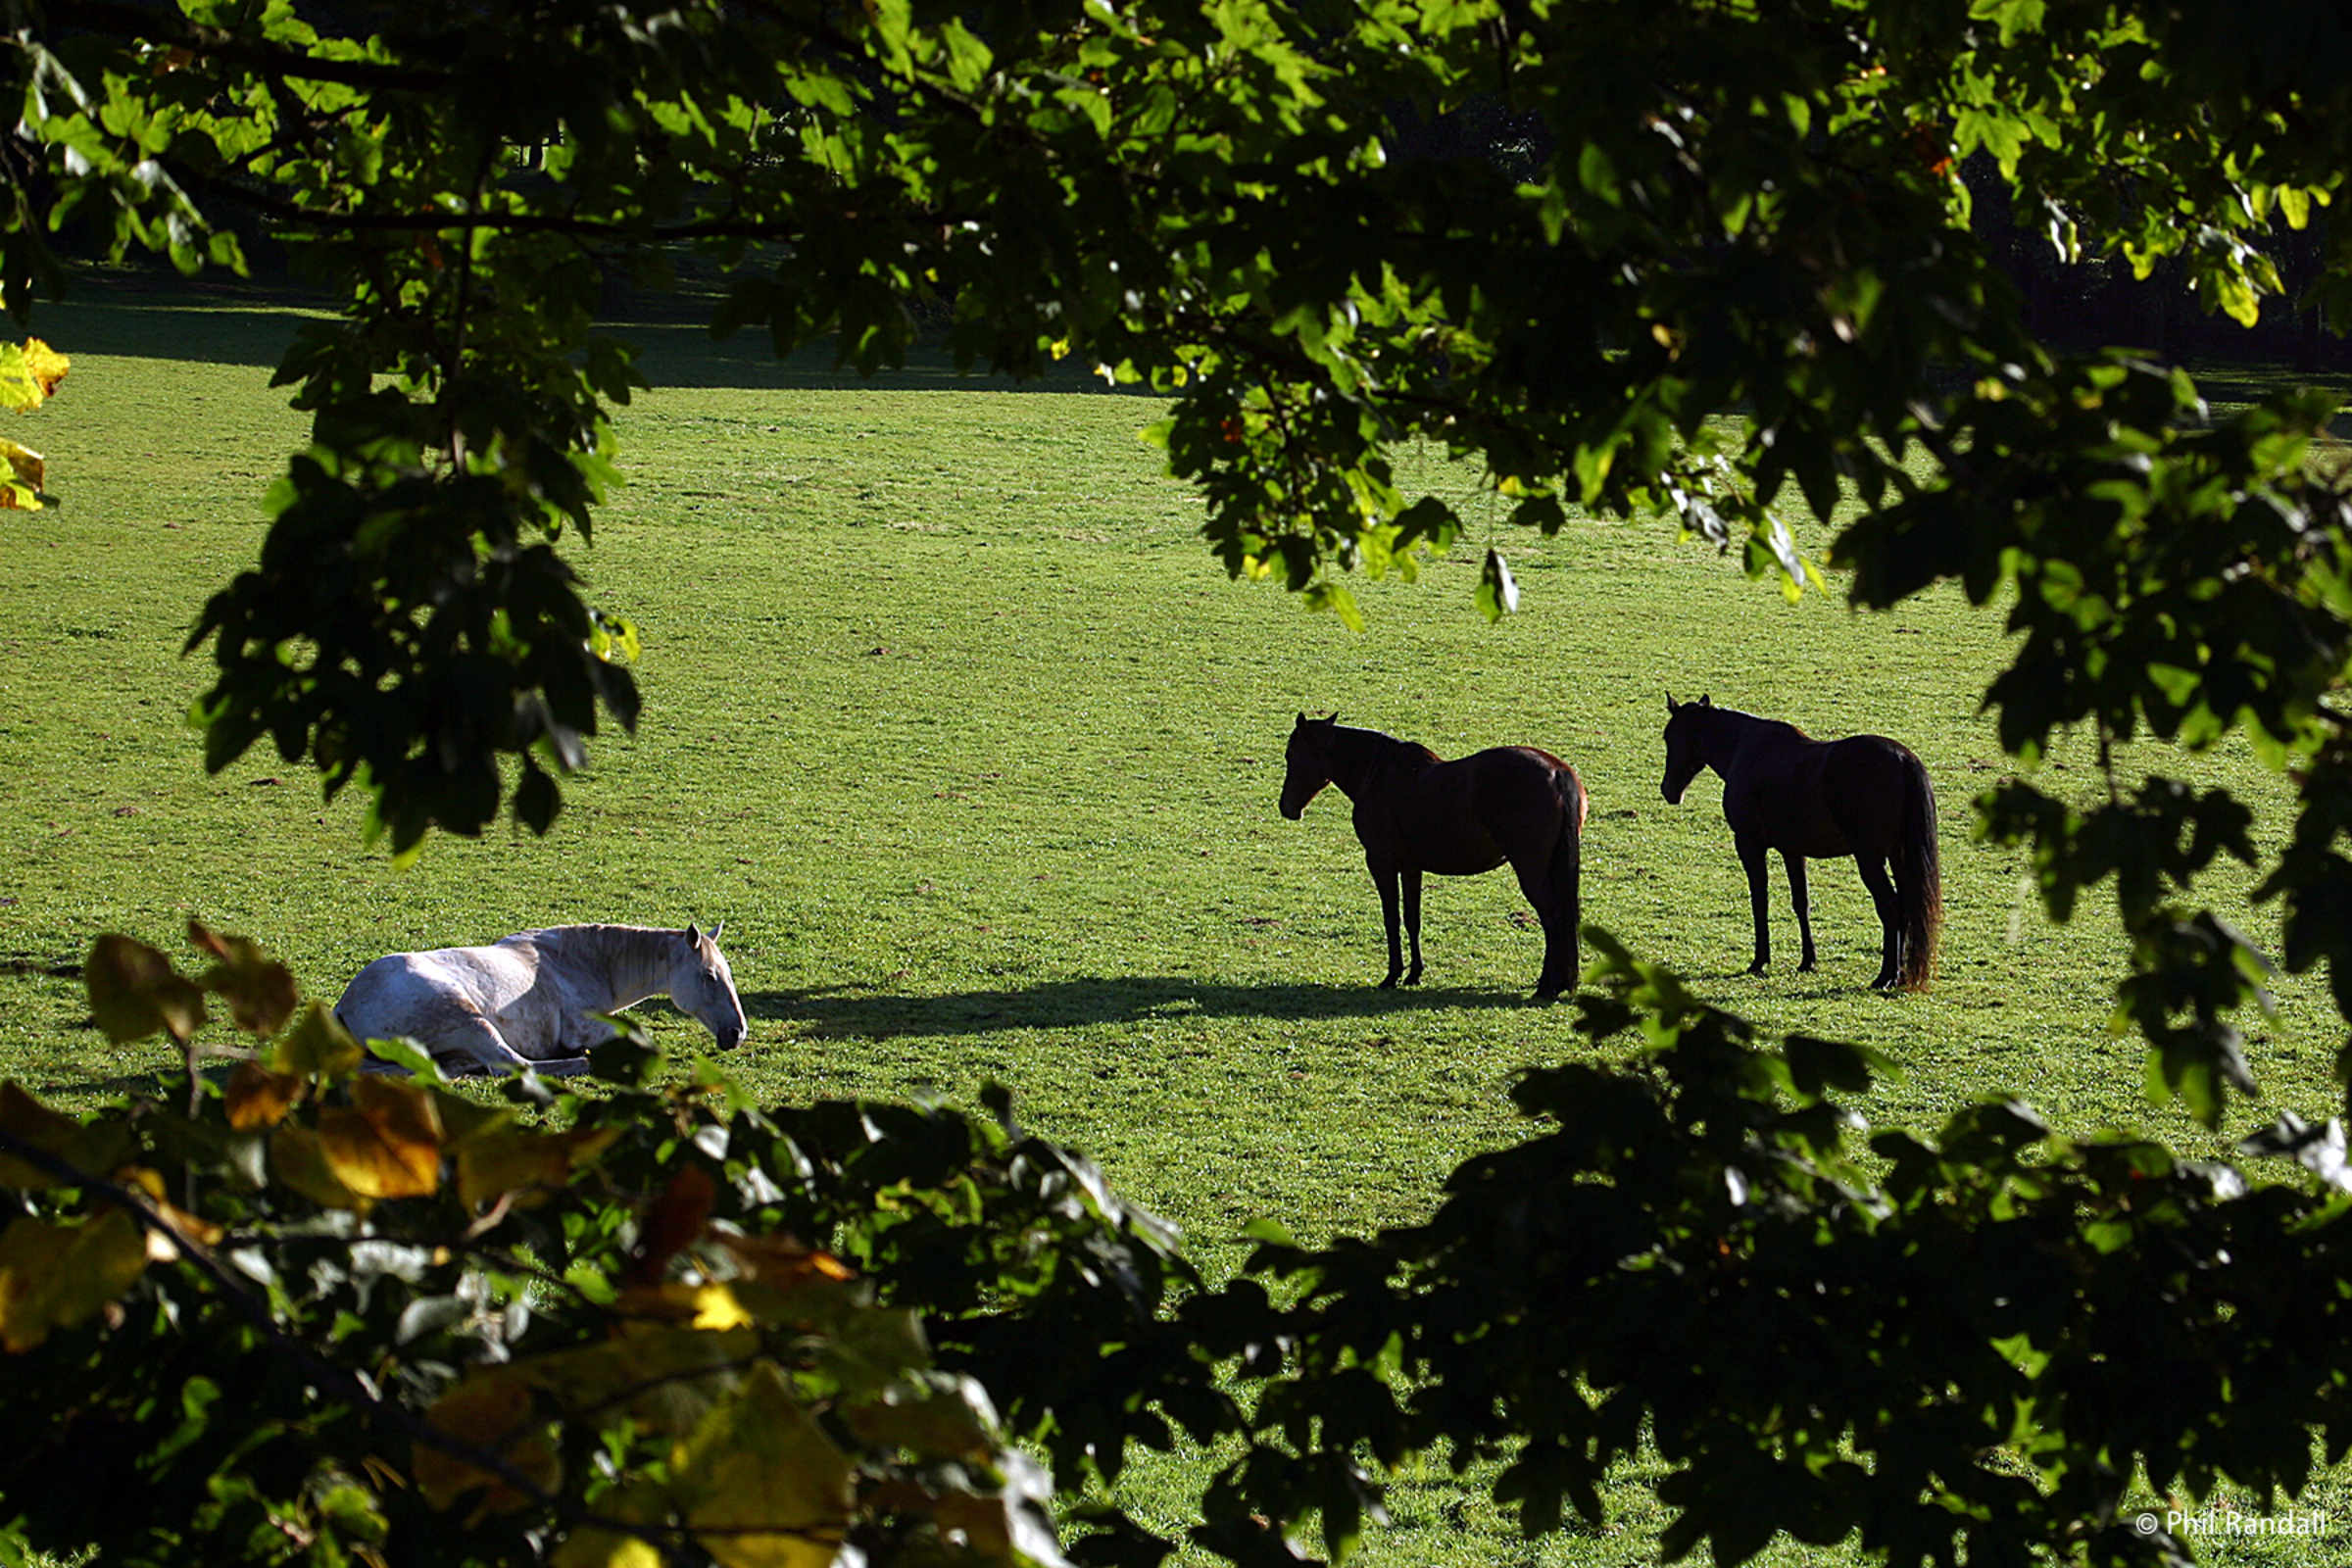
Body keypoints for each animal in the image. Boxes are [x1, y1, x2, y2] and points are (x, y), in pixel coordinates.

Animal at [333, 923, 748, 1077]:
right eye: (709, 976)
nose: (737, 1033)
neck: (578, 962)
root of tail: (345, 1006)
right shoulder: (586, 1027)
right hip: (470, 1021)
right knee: (513, 1065)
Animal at [1278, 713, 1588, 997]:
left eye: (1291, 754)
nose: (1286, 807)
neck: (1378, 774)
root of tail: (1557, 772)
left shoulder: (1381, 862)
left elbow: (1391, 919)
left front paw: (1392, 975)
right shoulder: (1410, 867)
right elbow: (1412, 919)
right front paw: (1414, 973)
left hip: (1531, 871)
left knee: (1552, 918)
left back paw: (1547, 986)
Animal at [1659, 694, 1942, 990]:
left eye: (1671, 736)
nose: (1668, 790)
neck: (1746, 750)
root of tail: (1903, 759)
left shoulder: (1749, 844)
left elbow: (1759, 900)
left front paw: (1759, 961)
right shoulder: (1793, 851)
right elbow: (1801, 903)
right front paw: (1808, 960)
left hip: (1870, 858)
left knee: (1891, 907)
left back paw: (1886, 975)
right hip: (1898, 856)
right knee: (1907, 907)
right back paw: (1900, 974)